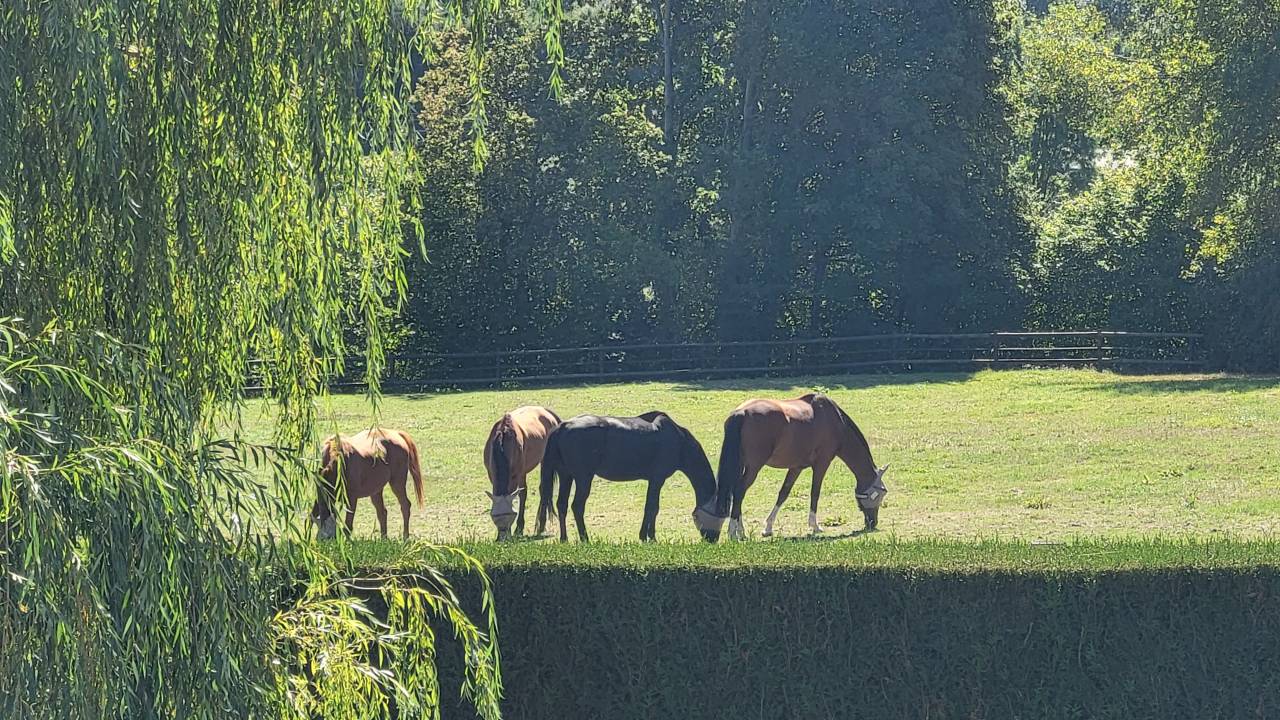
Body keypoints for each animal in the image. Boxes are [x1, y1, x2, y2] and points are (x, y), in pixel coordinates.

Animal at [483, 405, 561, 540]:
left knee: (544, 489)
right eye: (494, 516)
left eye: (511, 515)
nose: (503, 536)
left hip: (544, 461)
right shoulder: (492, 475)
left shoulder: (516, 475)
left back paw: (540, 526)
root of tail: (547, 411)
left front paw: (518, 528)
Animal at [538, 411, 726, 542]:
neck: (679, 442)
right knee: (577, 506)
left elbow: (652, 507)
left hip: (566, 476)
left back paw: (564, 538)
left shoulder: (654, 480)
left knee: (561, 505)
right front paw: (648, 537)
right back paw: (585, 538)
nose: (712, 540)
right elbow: (652, 507)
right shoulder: (657, 479)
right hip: (584, 478)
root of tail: (563, 426)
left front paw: (648, 535)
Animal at [715, 393, 888, 540]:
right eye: (879, 495)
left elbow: (783, 493)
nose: (872, 523)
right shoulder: (822, 463)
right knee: (739, 491)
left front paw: (768, 528)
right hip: (753, 467)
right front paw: (815, 526)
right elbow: (815, 493)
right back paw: (734, 532)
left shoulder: (796, 467)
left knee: (737, 493)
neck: (834, 420)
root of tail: (741, 412)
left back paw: (740, 530)